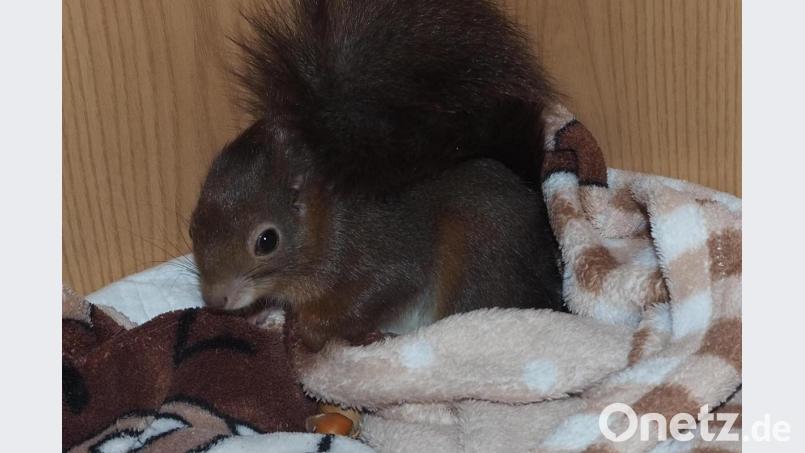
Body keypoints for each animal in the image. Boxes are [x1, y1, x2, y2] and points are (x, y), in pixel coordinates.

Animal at [190, 0, 565, 351]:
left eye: (267, 241)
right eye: (193, 227)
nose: (216, 299)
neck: (326, 222)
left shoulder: (385, 251)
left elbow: (381, 289)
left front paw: (309, 328)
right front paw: (263, 314)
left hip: (476, 260)